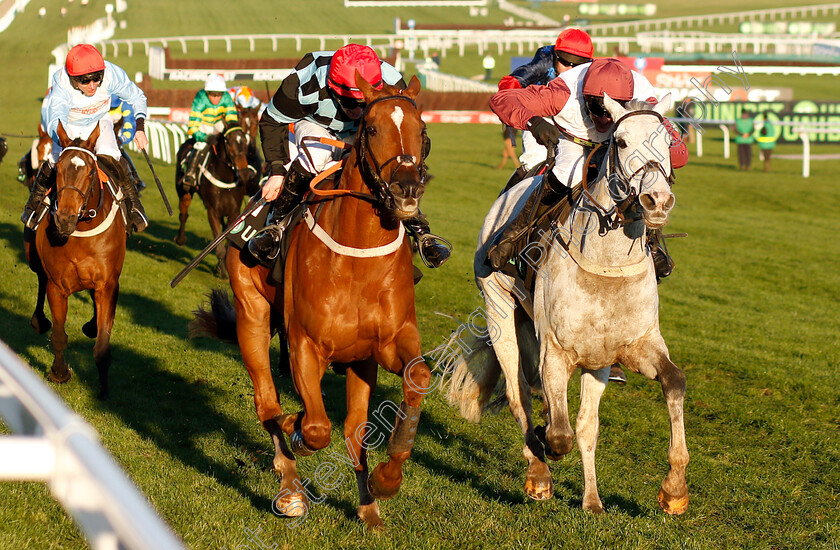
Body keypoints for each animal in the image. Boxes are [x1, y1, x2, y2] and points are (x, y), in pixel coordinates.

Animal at [24, 124, 127, 402]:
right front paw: (59, 372)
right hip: (32, 258)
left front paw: (103, 390)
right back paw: (39, 321)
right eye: (57, 169)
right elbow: (59, 335)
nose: (64, 219)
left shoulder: (108, 285)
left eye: (90, 171)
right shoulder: (57, 286)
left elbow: (102, 345)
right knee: (39, 279)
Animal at [171, 125, 248, 280]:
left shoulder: (234, 212)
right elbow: (218, 245)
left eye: (245, 141)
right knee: (183, 214)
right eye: (229, 142)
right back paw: (180, 239)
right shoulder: (213, 211)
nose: (245, 173)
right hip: (184, 191)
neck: (225, 178)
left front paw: (223, 267)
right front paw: (223, 272)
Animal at [193, 75, 434, 528]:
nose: (407, 189)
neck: (358, 257)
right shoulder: (306, 344)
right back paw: (290, 489)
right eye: (371, 129)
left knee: (351, 427)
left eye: (423, 132)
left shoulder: (386, 344)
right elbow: (315, 428)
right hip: (252, 319)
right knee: (267, 404)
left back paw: (367, 505)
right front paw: (298, 430)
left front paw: (385, 481)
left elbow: (414, 381)